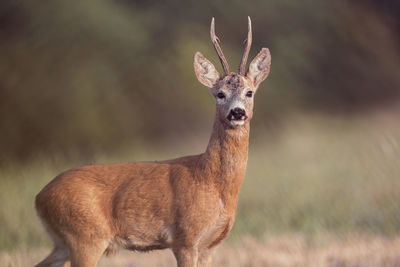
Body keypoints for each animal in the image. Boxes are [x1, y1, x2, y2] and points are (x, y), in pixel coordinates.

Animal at [34, 17, 272, 267]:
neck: (213, 182)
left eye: (249, 92)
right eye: (220, 94)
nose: (237, 112)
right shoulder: (184, 238)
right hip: (86, 237)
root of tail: (39, 197)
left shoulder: (210, 245)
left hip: (64, 244)